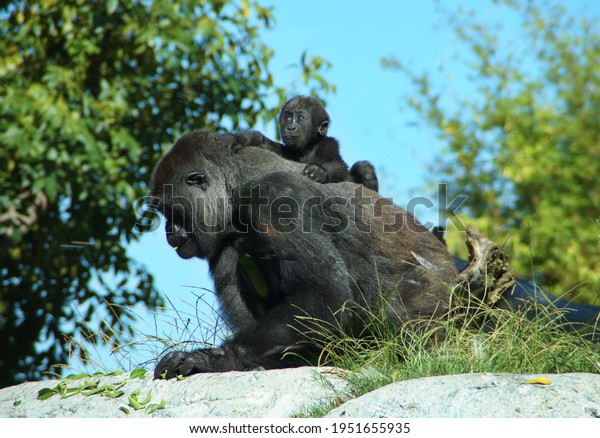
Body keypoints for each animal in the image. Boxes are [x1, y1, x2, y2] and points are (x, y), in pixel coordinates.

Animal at [150, 129, 460, 376]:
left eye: (170, 209)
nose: (168, 231)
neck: (235, 184)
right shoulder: (223, 241)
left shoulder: (275, 197)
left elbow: (322, 294)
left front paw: (210, 358)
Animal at [227, 95, 378, 191]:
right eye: (288, 118)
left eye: (300, 118)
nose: (290, 128)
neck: (308, 146)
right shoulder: (287, 150)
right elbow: (267, 146)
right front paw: (246, 139)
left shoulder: (328, 144)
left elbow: (338, 165)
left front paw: (319, 171)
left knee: (363, 168)